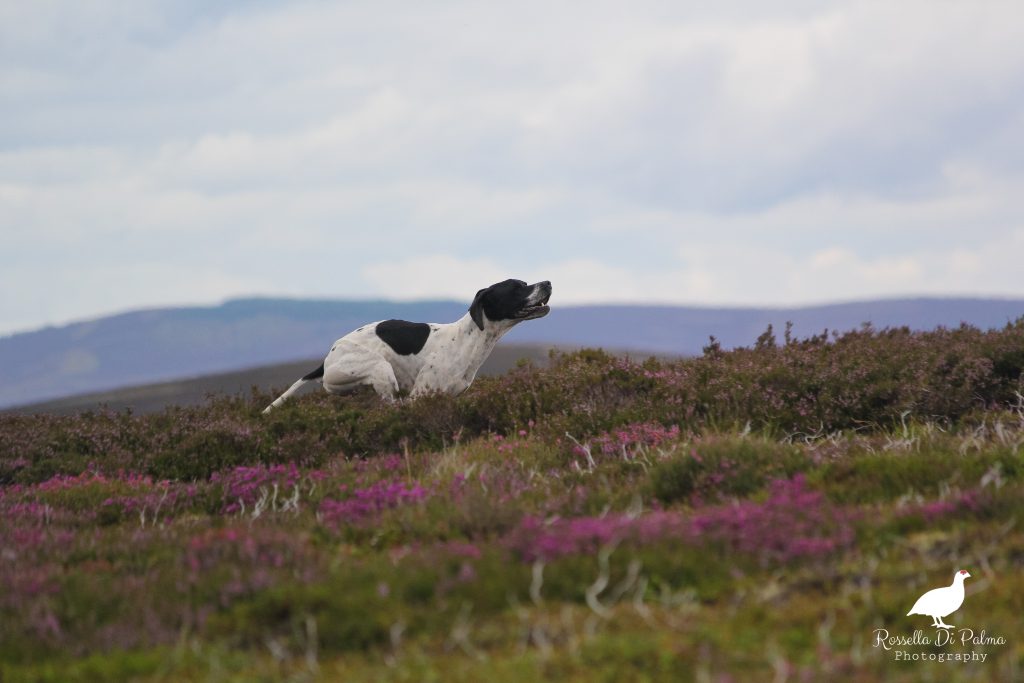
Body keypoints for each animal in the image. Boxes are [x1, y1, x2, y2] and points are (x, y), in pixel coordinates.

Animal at [264, 278, 552, 413]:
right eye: (517, 288)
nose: (548, 283)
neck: (466, 341)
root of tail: (327, 360)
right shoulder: (419, 397)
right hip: (379, 369)